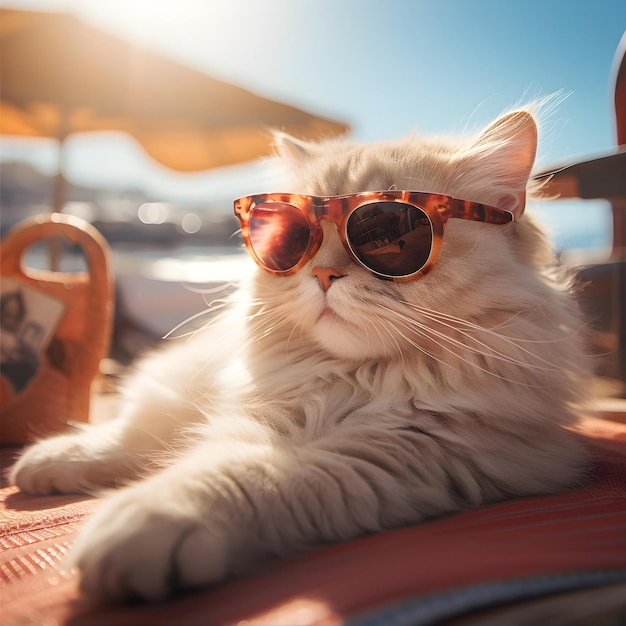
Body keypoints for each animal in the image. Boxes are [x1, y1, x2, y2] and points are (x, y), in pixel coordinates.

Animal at [9, 107, 588, 600]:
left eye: (390, 234)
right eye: (294, 237)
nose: (323, 275)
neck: (352, 381)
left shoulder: (408, 449)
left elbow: (240, 478)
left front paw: (150, 522)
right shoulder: (268, 416)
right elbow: (203, 460)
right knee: (134, 436)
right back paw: (46, 463)